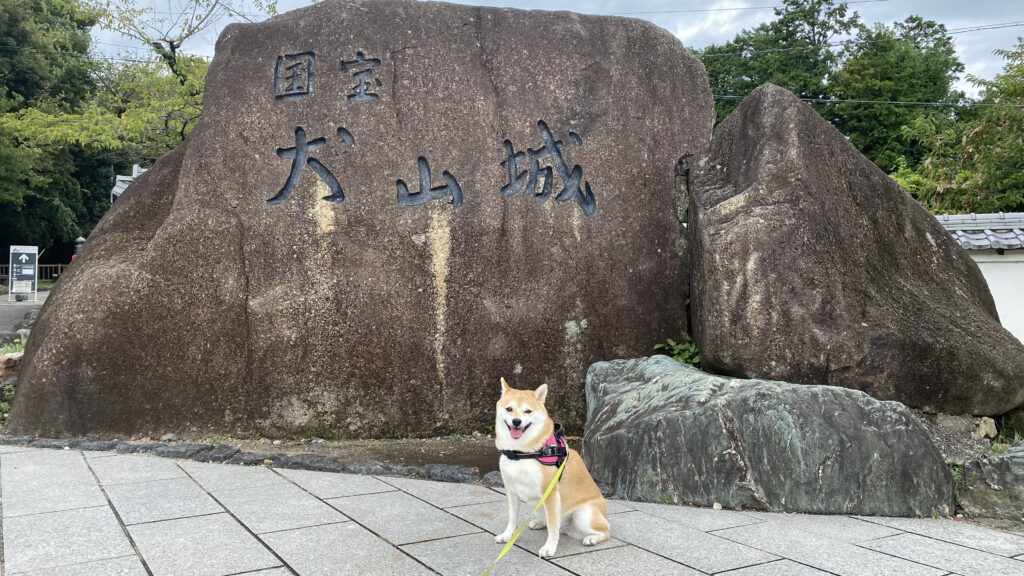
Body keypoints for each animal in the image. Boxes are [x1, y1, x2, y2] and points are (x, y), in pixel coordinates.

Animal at [493, 377, 606, 557]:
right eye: (509, 409)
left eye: (528, 411)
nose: (516, 421)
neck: (521, 453)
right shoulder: (511, 489)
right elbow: (512, 518)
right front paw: (507, 536)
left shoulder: (550, 492)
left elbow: (553, 528)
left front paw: (549, 548)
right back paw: (539, 522)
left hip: (584, 515)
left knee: (605, 531)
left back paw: (592, 539)